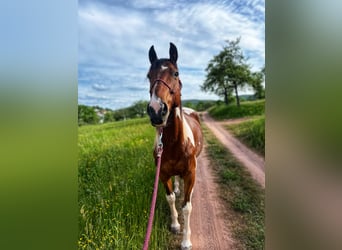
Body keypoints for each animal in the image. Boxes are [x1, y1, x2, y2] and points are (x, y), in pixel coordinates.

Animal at [146, 42, 202, 249]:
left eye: (175, 73)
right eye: (149, 75)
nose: (156, 110)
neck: (174, 143)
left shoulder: (191, 173)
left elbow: (187, 206)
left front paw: (186, 241)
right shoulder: (162, 174)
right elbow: (170, 198)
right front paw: (176, 225)